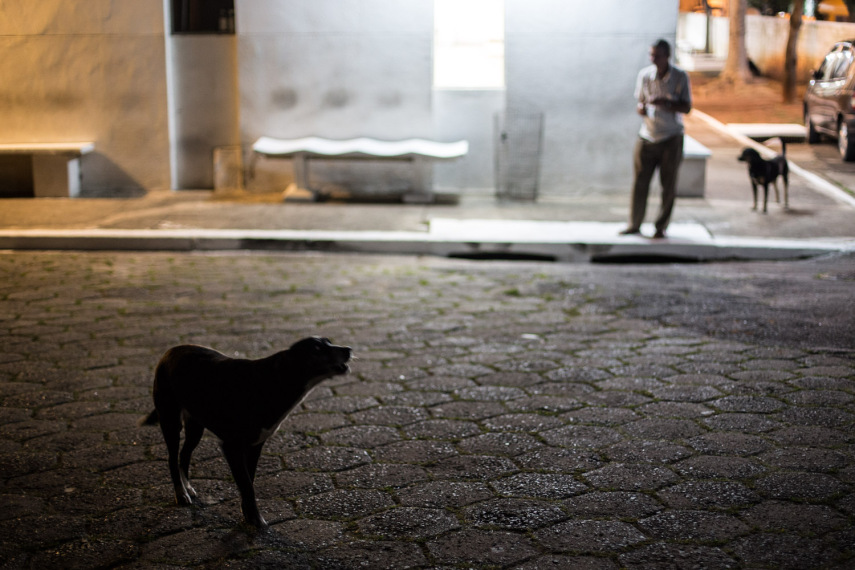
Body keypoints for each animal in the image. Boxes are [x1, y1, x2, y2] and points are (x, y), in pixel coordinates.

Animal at [140, 336, 352, 524]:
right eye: (317, 349)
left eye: (329, 342)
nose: (348, 349)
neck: (277, 379)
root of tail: (169, 352)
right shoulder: (231, 447)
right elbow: (247, 486)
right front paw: (257, 521)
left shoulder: (255, 445)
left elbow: (248, 481)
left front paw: (248, 514)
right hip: (170, 421)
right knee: (172, 458)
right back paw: (181, 494)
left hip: (195, 426)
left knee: (184, 455)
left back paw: (188, 487)